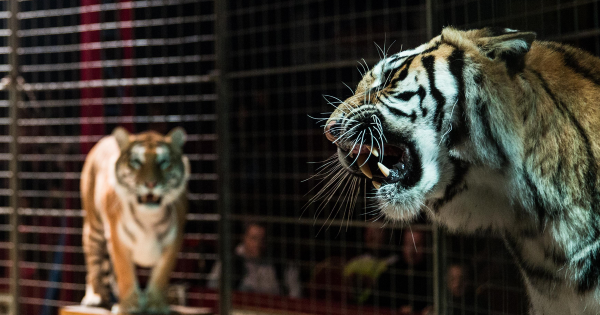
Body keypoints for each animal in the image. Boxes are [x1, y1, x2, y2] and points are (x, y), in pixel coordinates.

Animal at [78, 127, 189, 314]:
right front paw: (128, 306)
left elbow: (161, 275)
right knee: (93, 265)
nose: (150, 183)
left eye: (164, 162)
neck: (149, 217)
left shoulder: (174, 241)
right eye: (136, 162)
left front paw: (156, 306)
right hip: (94, 228)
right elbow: (125, 273)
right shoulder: (117, 239)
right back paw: (94, 296)